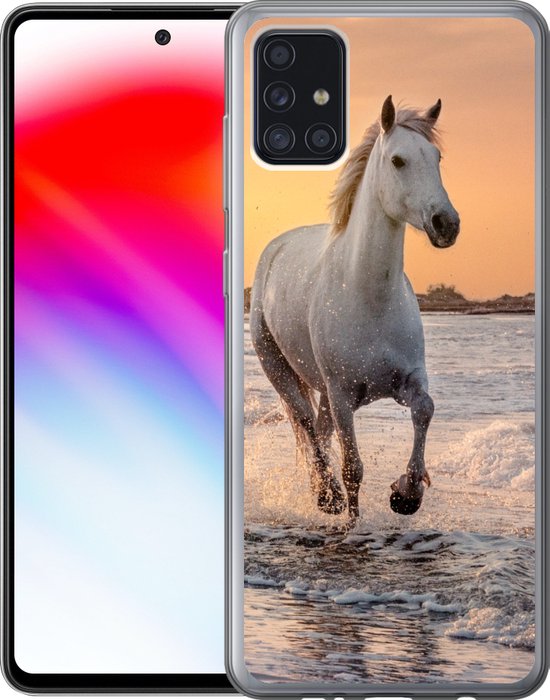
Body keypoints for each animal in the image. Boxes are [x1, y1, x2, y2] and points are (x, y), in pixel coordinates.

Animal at [250, 95, 460, 523]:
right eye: (398, 160)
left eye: (437, 157)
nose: (446, 223)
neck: (369, 298)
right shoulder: (343, 394)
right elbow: (353, 469)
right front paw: (353, 519)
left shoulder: (408, 380)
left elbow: (425, 410)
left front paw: (407, 494)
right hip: (279, 369)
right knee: (306, 425)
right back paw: (326, 495)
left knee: (319, 429)